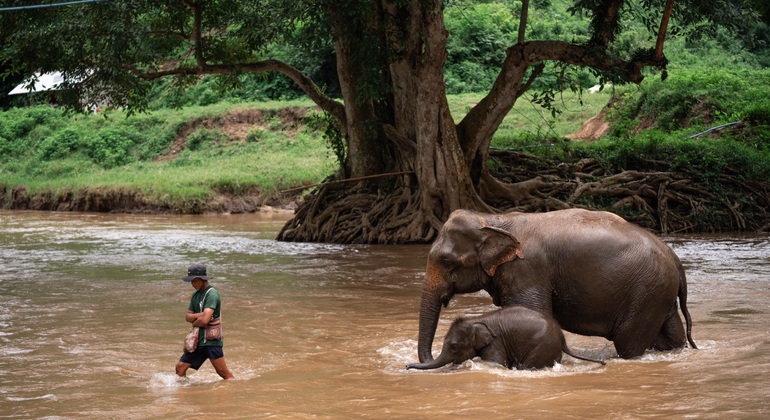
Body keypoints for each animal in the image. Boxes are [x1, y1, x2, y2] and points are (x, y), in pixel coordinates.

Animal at [407, 306, 606, 370]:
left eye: (455, 346)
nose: (407, 366)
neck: (477, 320)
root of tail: (562, 337)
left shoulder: (496, 343)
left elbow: (495, 364)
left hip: (543, 347)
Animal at [417, 208, 697, 363]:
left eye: (446, 261)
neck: (494, 219)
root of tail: (674, 258)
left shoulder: (527, 270)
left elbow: (532, 312)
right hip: (659, 292)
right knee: (671, 336)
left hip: (646, 292)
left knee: (629, 343)